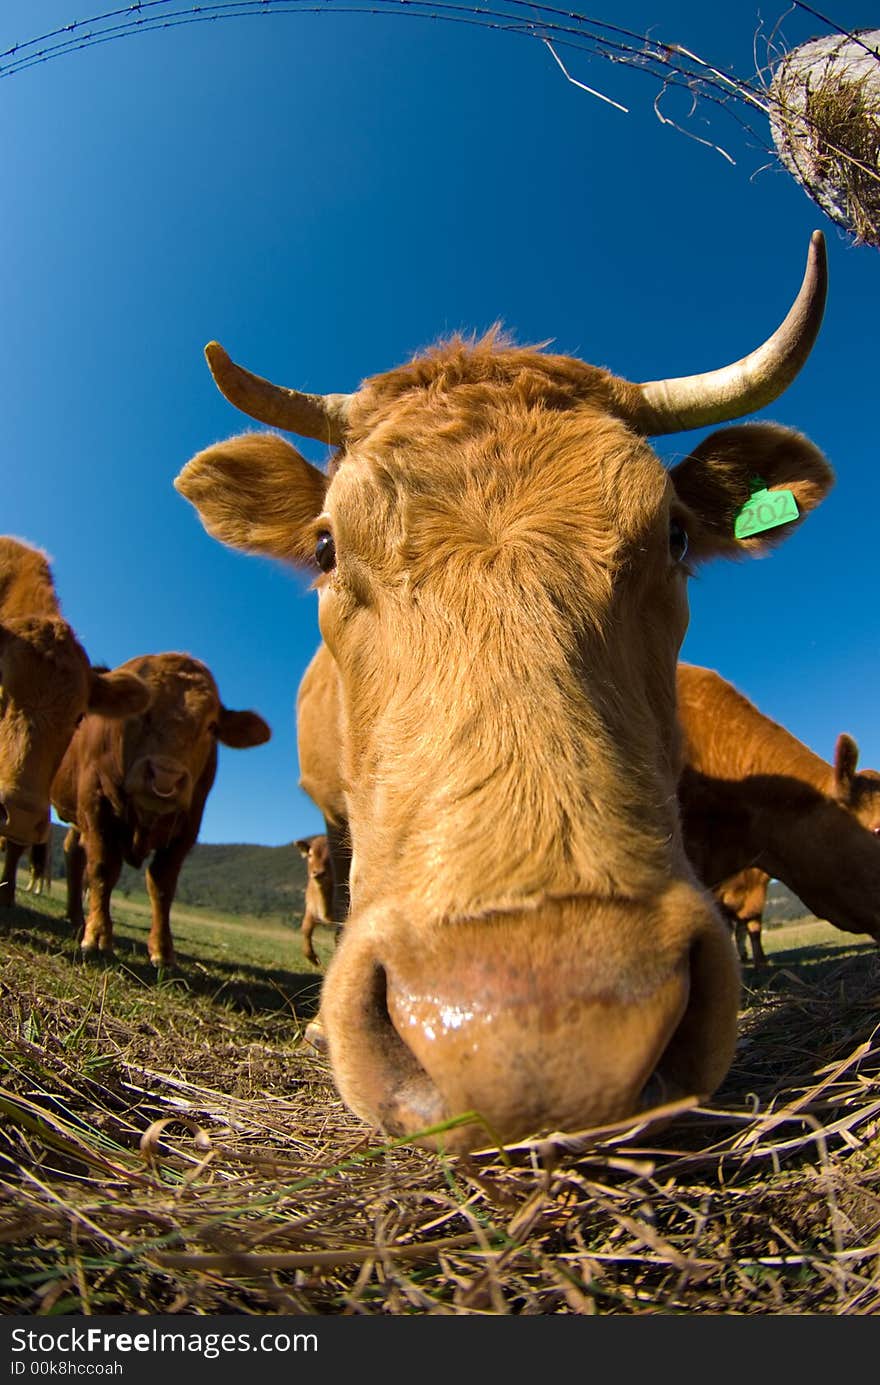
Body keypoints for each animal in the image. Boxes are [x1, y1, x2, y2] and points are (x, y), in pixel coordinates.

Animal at [51, 648, 270, 963]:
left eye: (211, 726)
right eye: (140, 711)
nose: (166, 777)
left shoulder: (189, 823)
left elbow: (162, 885)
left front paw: (163, 950)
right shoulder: (96, 802)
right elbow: (103, 868)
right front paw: (98, 936)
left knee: (74, 852)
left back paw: (75, 916)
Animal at [296, 831, 336, 963]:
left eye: (332, 855)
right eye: (310, 855)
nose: (318, 873)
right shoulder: (310, 907)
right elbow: (306, 928)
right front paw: (312, 957)